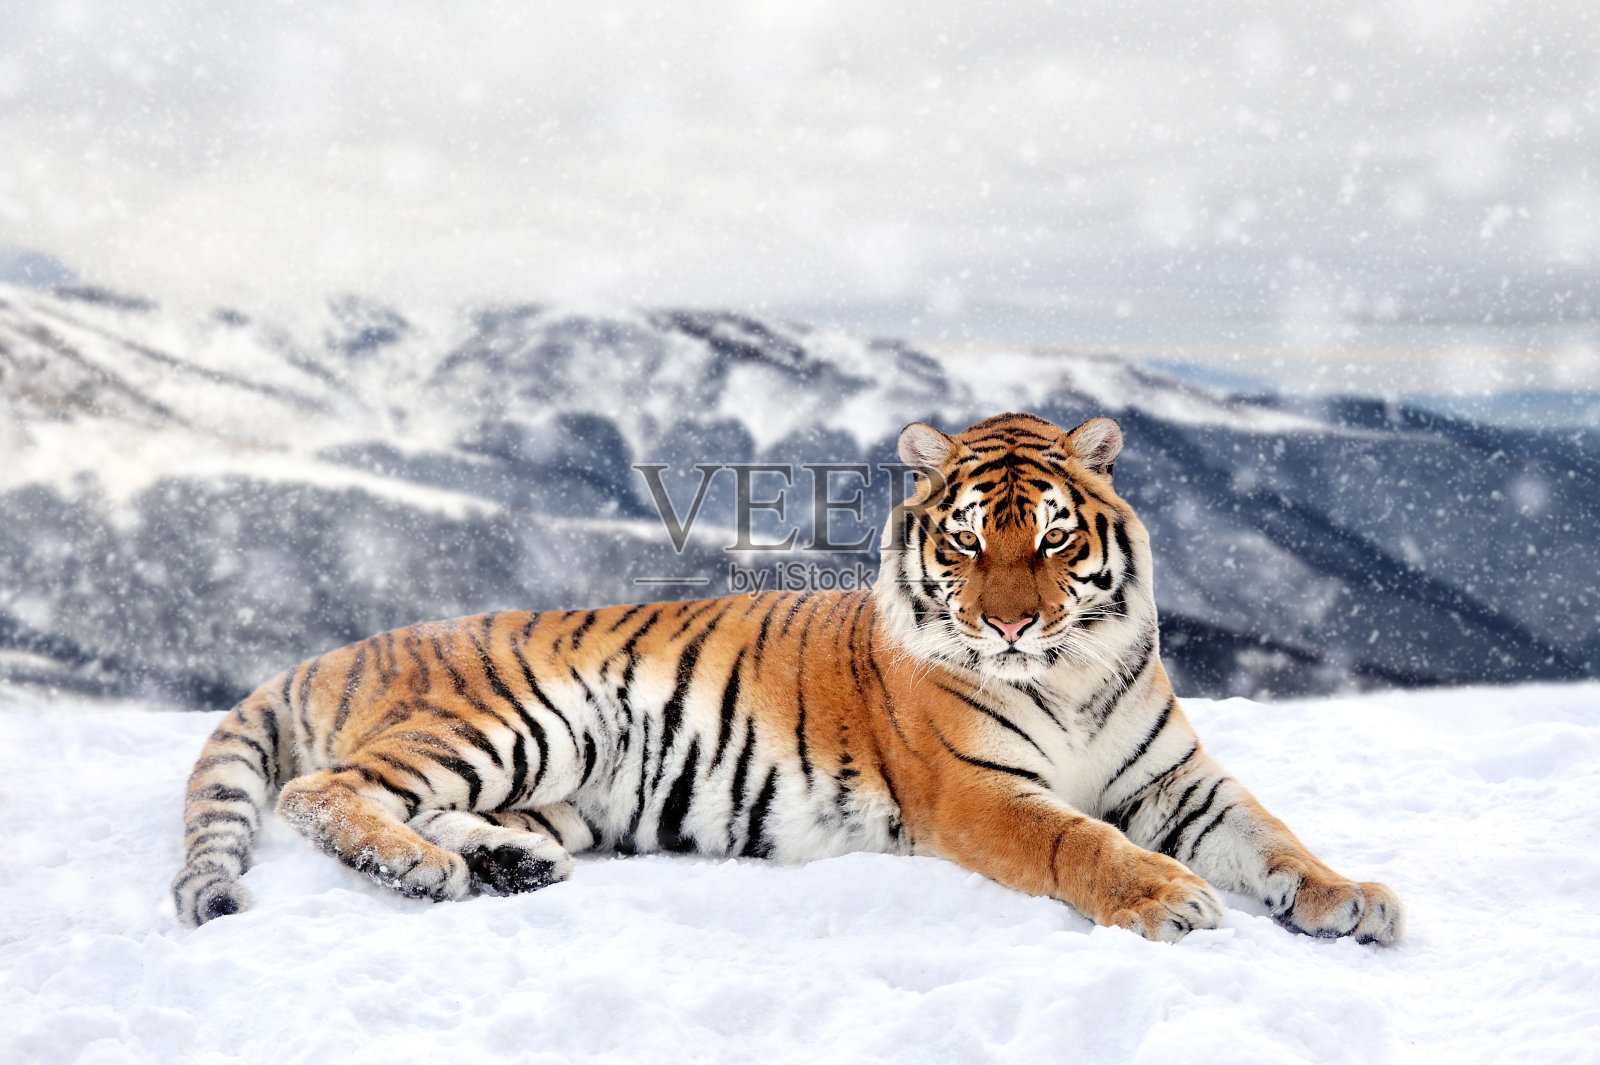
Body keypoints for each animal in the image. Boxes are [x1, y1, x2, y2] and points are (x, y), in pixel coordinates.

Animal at [173, 412, 1403, 945]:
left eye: (1053, 538)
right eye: (969, 540)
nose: (1008, 624)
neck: (1073, 672)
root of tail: (348, 644)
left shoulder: (1177, 780)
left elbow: (1272, 836)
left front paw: (1350, 897)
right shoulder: (979, 792)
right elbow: (1082, 842)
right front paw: (1169, 900)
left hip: (552, 787)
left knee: (437, 812)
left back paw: (503, 868)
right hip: (517, 719)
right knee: (324, 793)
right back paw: (424, 872)